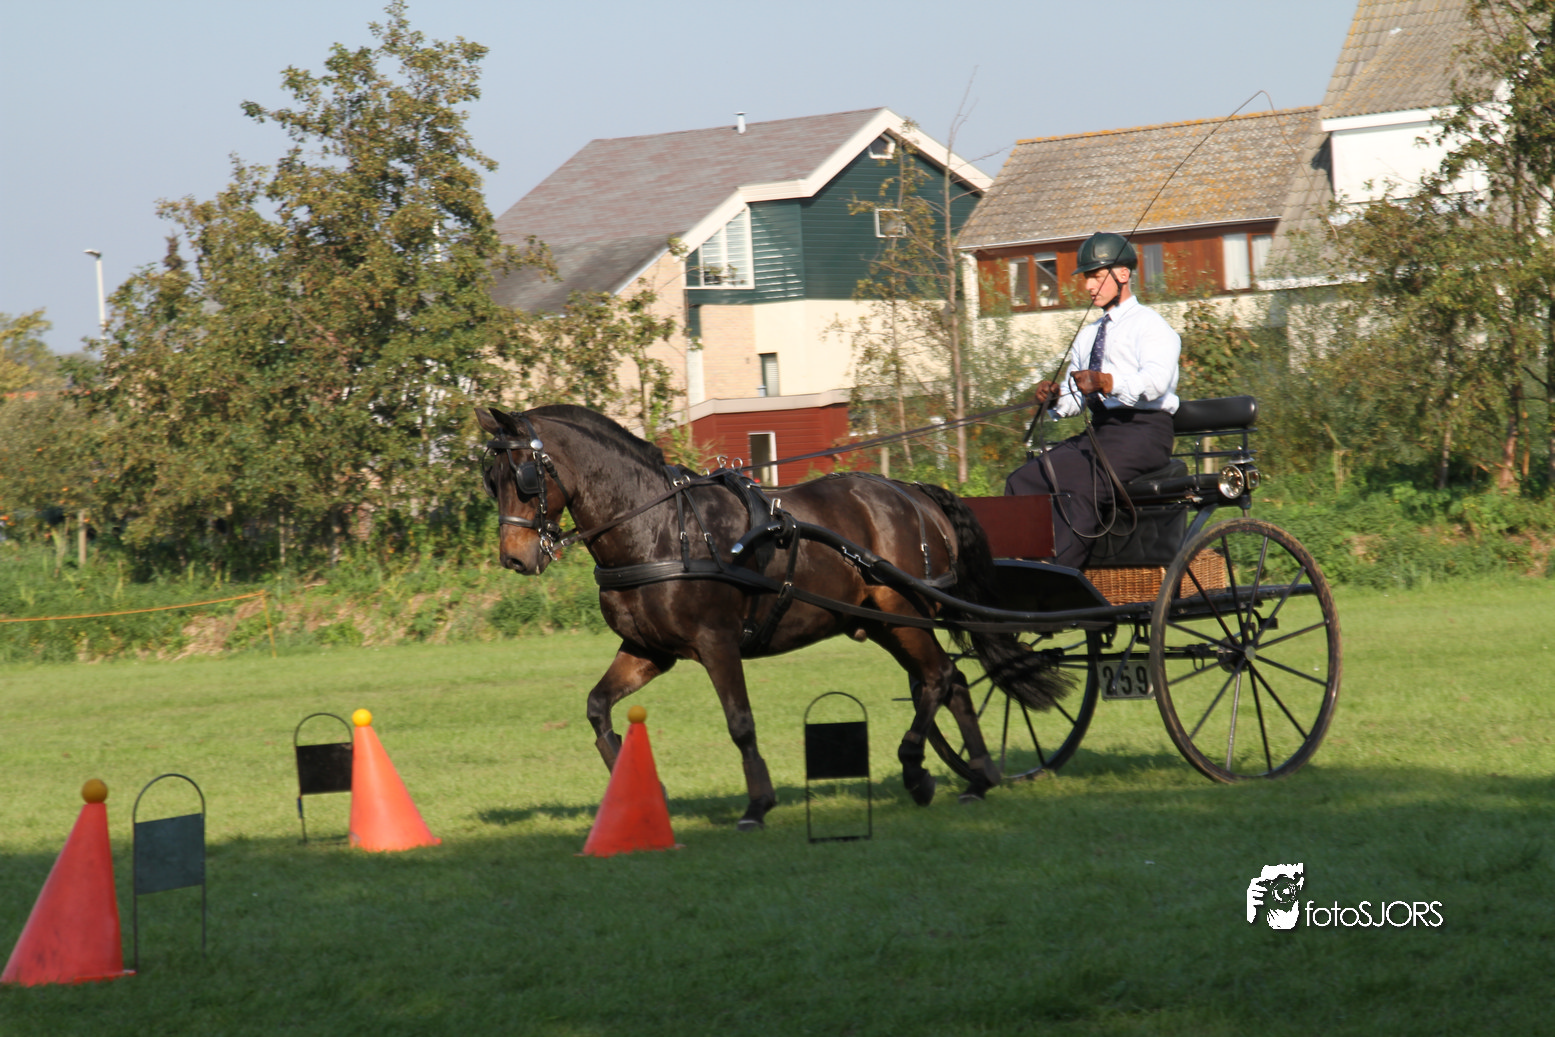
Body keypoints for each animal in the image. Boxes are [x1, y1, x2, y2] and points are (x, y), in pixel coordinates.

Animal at [475, 403, 1069, 829]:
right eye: (490, 477)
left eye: (526, 476)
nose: (514, 557)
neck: (663, 529)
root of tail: (911, 492)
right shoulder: (648, 651)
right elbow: (598, 707)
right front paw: (645, 792)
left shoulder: (716, 643)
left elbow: (740, 722)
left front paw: (757, 804)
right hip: (885, 624)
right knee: (951, 682)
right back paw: (978, 776)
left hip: (903, 614)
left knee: (941, 677)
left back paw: (920, 770)